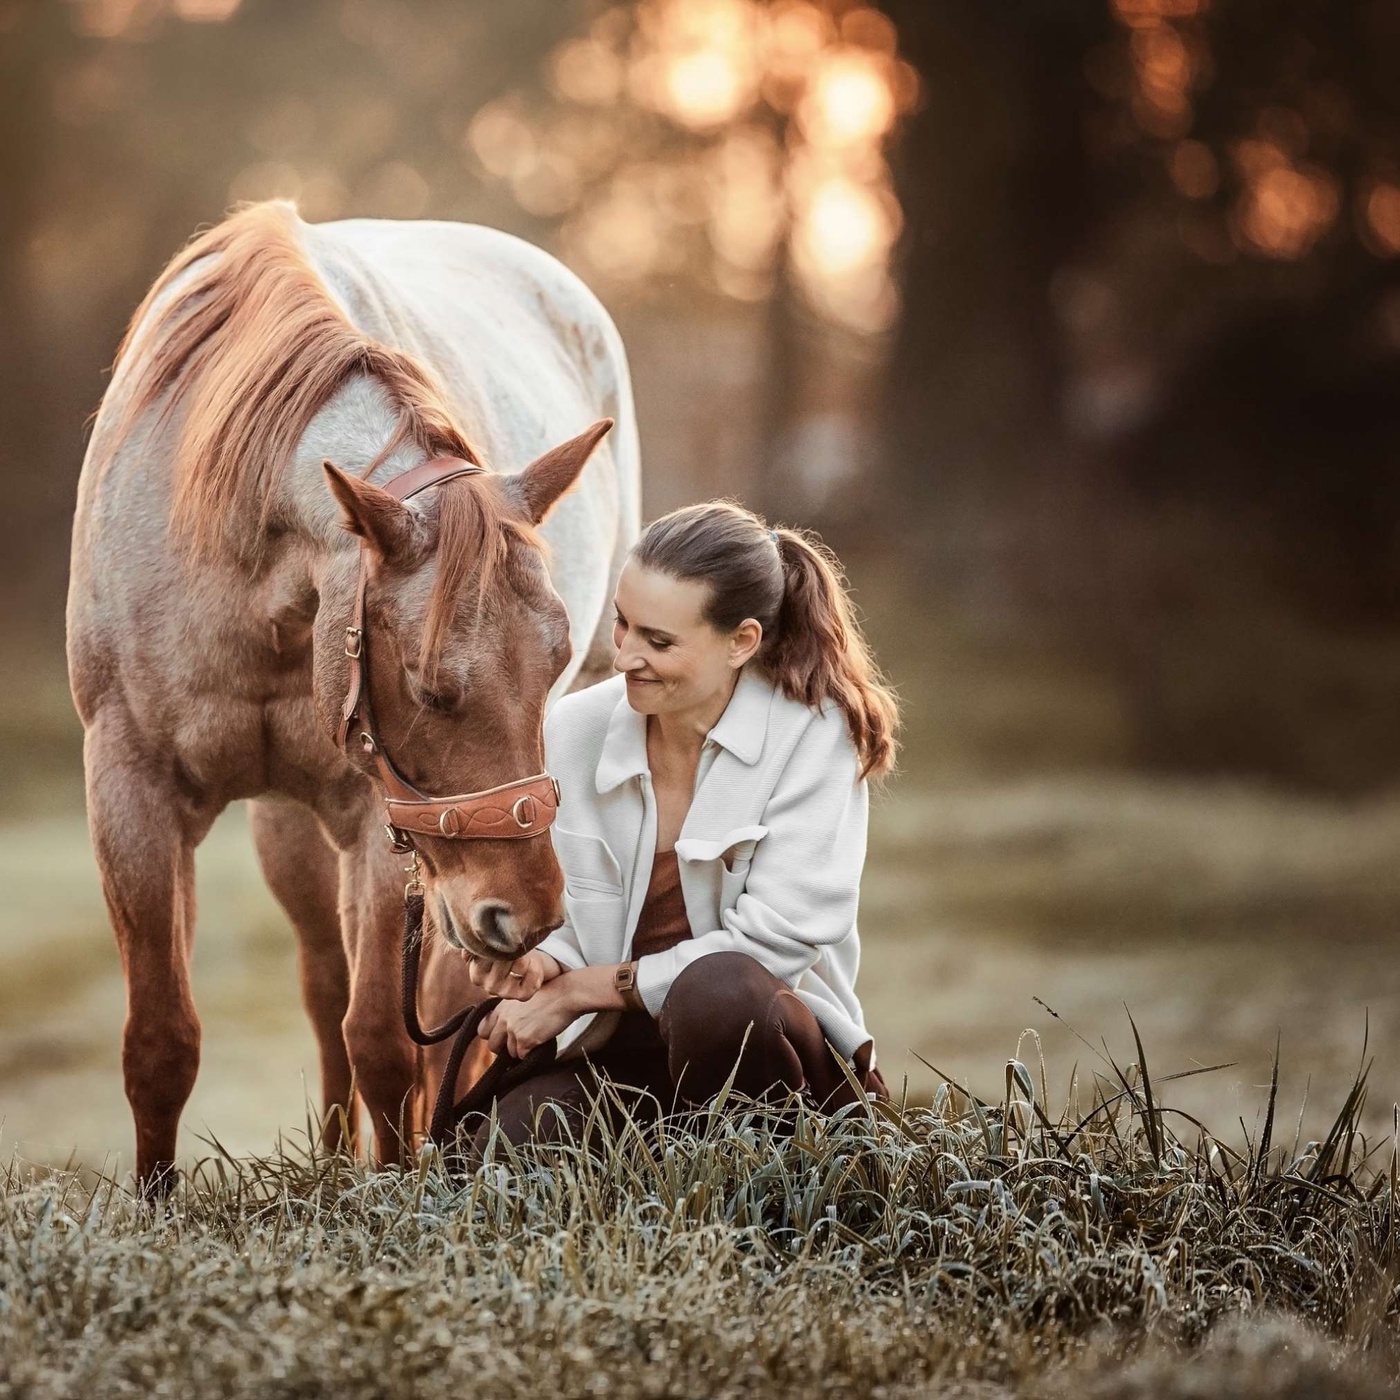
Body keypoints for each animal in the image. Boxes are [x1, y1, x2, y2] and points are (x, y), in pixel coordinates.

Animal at [66, 200, 641, 1193]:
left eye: (555, 662)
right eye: (429, 685)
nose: (526, 911)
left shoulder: (386, 819)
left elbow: (384, 1039)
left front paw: (404, 1189)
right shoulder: (130, 787)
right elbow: (161, 1042)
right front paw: (156, 1205)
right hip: (304, 834)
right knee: (325, 974)